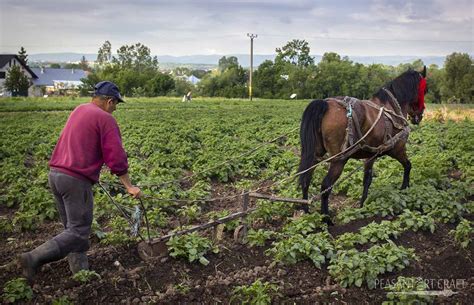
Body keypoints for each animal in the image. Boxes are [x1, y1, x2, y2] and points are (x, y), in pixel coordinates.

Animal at [298, 67, 428, 218]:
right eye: (424, 90)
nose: (420, 116)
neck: (392, 107)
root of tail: (325, 104)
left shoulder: (371, 155)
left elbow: (367, 180)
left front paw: (362, 206)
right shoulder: (397, 148)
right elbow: (408, 166)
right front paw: (404, 189)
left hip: (315, 154)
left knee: (306, 179)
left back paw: (307, 211)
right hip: (339, 160)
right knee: (325, 186)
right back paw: (326, 218)